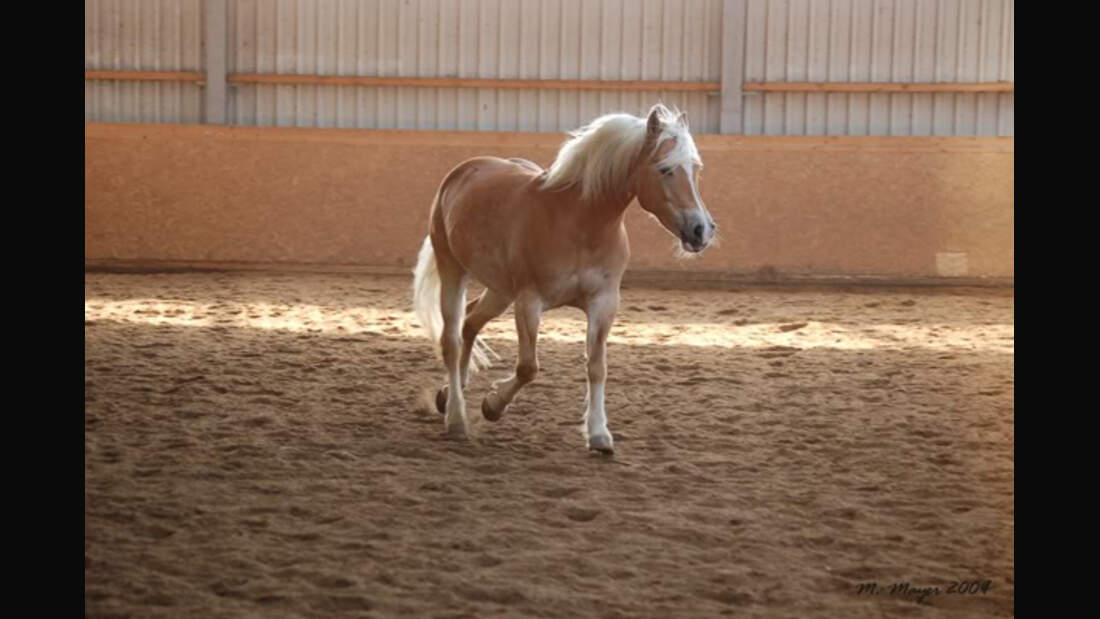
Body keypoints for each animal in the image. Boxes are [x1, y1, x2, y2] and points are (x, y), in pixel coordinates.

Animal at [413, 102, 712, 455]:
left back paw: (449, 394)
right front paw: (493, 405)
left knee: (470, 322)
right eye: (665, 169)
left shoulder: (603, 303)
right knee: (451, 340)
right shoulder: (529, 302)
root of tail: (462, 172)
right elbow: (528, 368)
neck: (579, 221)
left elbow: (596, 367)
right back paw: (456, 419)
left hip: (500, 291)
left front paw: (599, 434)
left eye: (695, 169)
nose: (702, 230)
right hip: (455, 271)